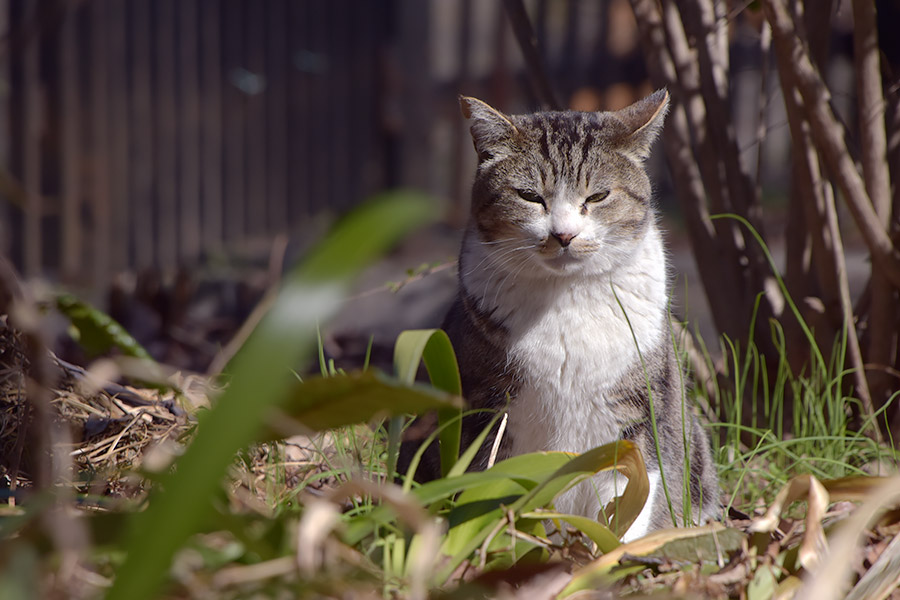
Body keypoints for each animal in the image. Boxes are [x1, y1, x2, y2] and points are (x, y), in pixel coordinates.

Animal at [400, 90, 716, 544]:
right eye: (530, 196)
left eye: (598, 196)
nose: (563, 234)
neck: (567, 301)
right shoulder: (486, 410)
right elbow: (490, 485)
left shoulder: (637, 413)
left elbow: (630, 495)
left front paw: (613, 554)